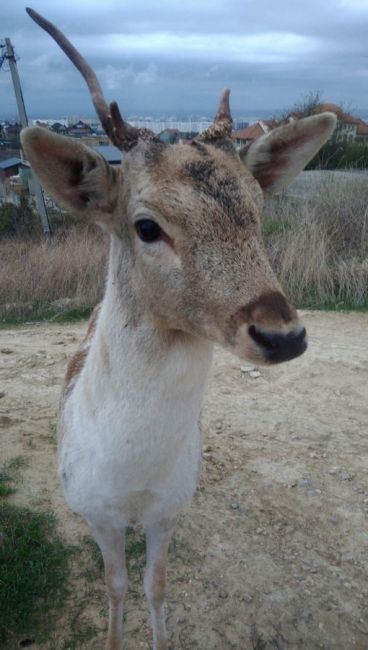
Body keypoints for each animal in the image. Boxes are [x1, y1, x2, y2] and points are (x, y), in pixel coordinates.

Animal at [20, 6, 336, 648]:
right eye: (147, 227)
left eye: (256, 211)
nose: (282, 335)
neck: (132, 473)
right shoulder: (96, 510)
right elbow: (115, 587)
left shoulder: (168, 508)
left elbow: (155, 585)